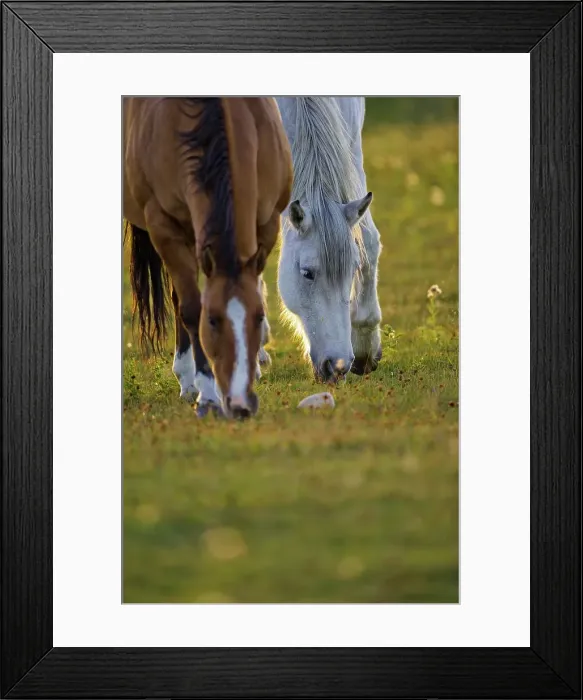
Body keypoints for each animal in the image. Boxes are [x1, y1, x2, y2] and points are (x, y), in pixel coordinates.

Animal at [124, 97, 292, 418]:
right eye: (212, 321)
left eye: (259, 317)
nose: (240, 404)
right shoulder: (163, 227)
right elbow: (190, 307)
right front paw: (208, 395)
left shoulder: (268, 223)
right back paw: (188, 380)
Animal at [272, 97, 383, 382]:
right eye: (307, 273)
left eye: (353, 269)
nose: (338, 365)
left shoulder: (351, 142)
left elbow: (368, 240)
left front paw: (365, 345)